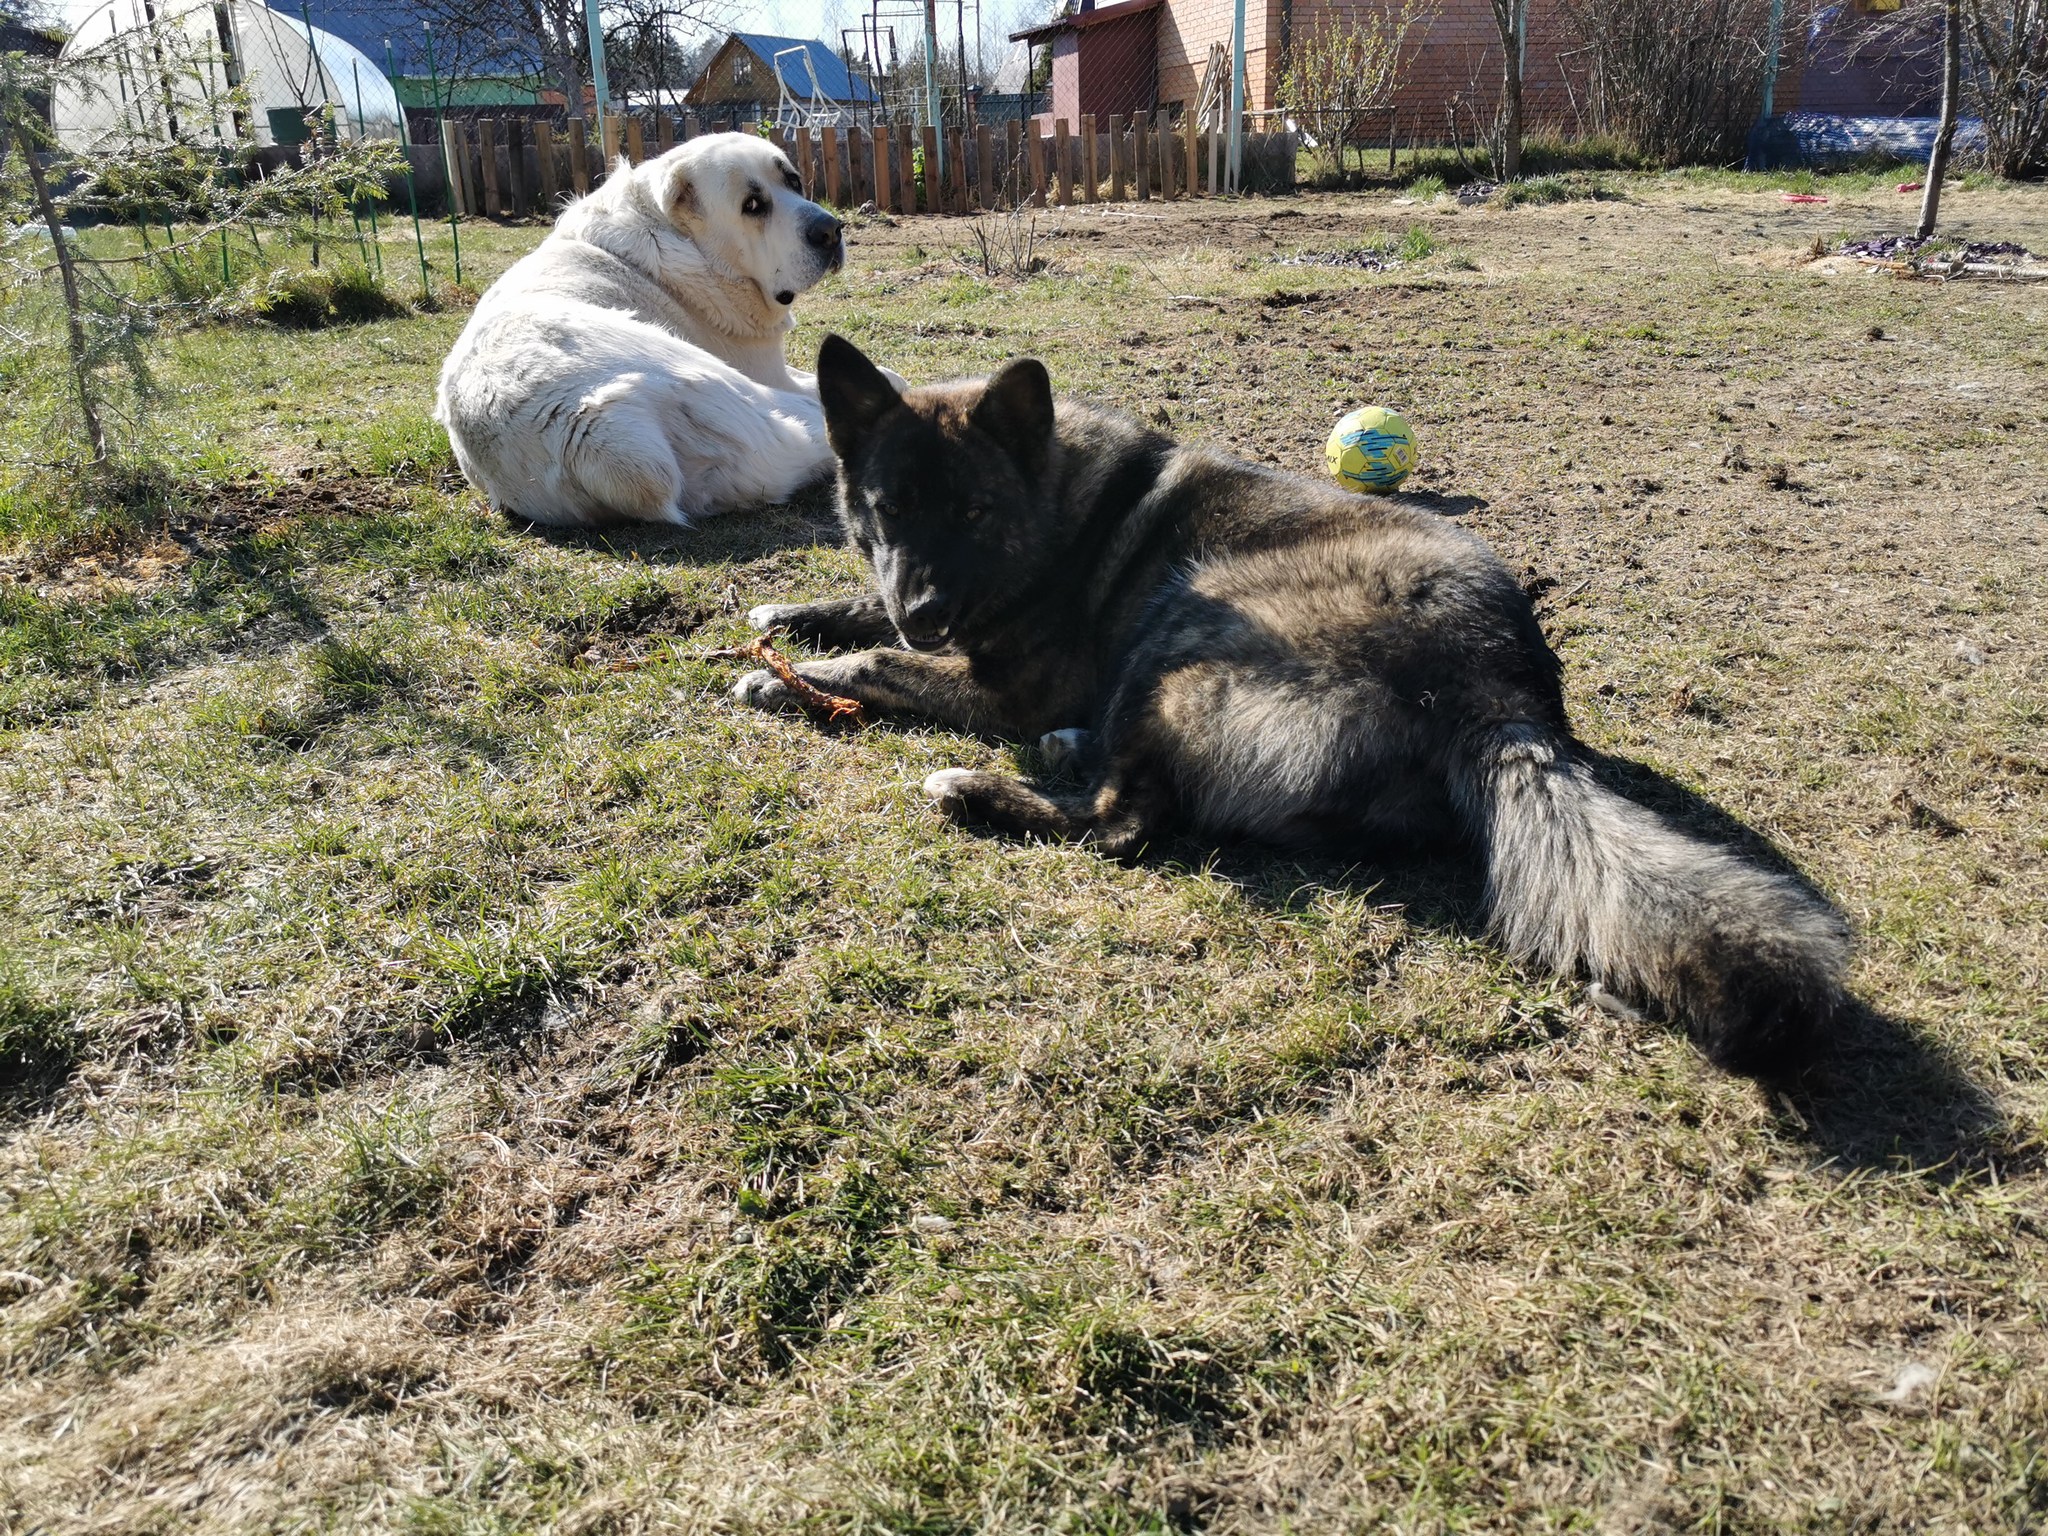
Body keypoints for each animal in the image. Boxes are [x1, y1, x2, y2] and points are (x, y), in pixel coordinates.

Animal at [440, 132, 872, 528]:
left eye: (794, 182)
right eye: (753, 206)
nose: (830, 230)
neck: (682, 243)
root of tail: (592, 436)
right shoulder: (773, 373)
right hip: (729, 381)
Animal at [741, 339, 1859, 1081]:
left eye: (972, 512)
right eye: (885, 510)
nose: (925, 607)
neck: (1055, 504)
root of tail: (1503, 695)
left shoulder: (1005, 682)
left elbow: (885, 664)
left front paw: (800, 675)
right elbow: (848, 608)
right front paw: (788, 619)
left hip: (1190, 612)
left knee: (1124, 823)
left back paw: (975, 788)